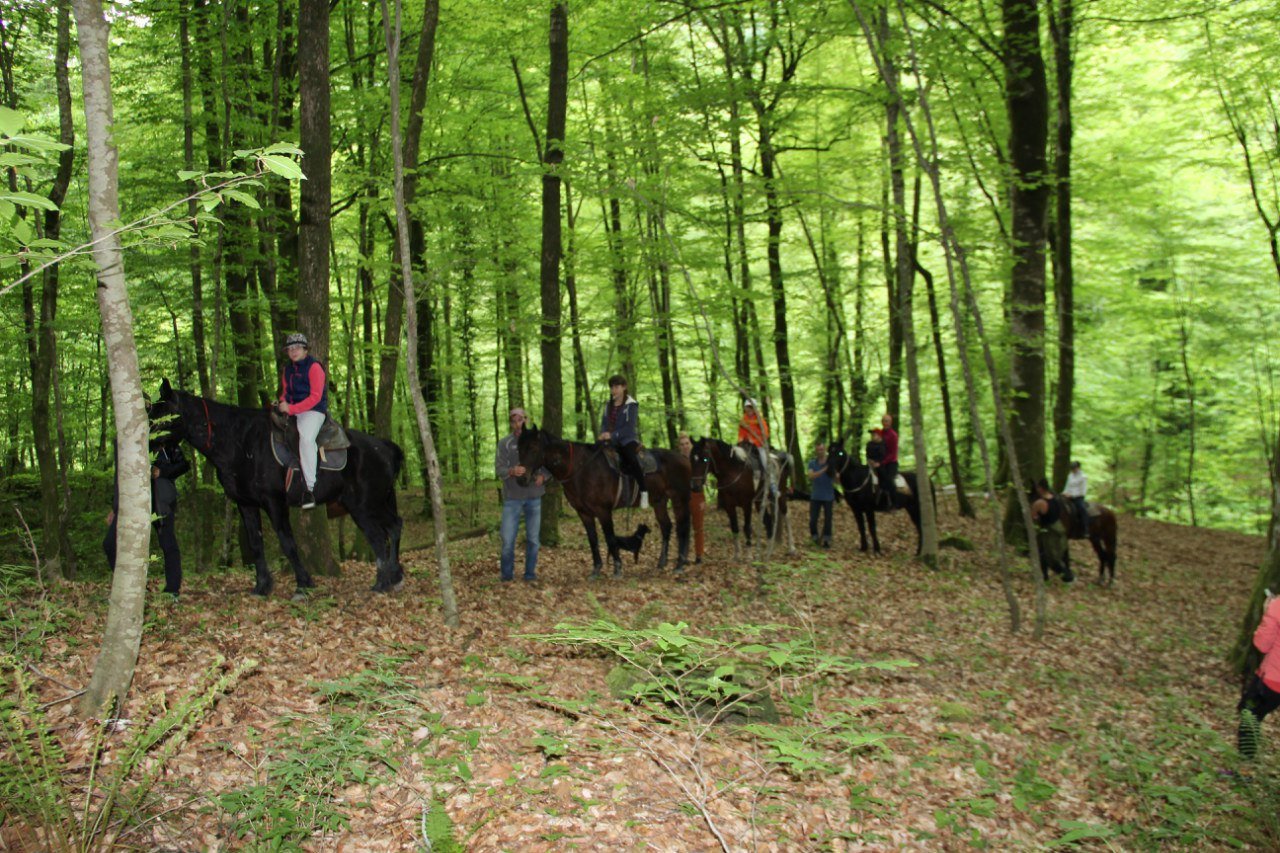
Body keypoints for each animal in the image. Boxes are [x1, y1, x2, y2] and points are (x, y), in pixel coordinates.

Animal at [154, 376, 404, 594]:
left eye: (162, 414)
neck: (241, 443)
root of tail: (385, 447)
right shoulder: (246, 504)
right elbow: (256, 544)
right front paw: (262, 587)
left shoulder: (274, 502)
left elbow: (287, 542)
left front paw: (303, 585)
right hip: (375, 503)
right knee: (394, 526)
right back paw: (395, 576)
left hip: (363, 506)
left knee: (378, 536)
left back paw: (382, 583)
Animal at [514, 425, 691, 578]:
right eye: (519, 448)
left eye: (533, 448)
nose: (521, 479)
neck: (581, 469)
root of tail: (684, 459)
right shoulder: (584, 513)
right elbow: (593, 539)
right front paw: (597, 569)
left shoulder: (603, 511)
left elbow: (610, 537)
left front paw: (618, 568)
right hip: (659, 501)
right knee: (666, 526)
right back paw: (662, 562)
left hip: (679, 498)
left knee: (682, 528)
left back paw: (680, 564)